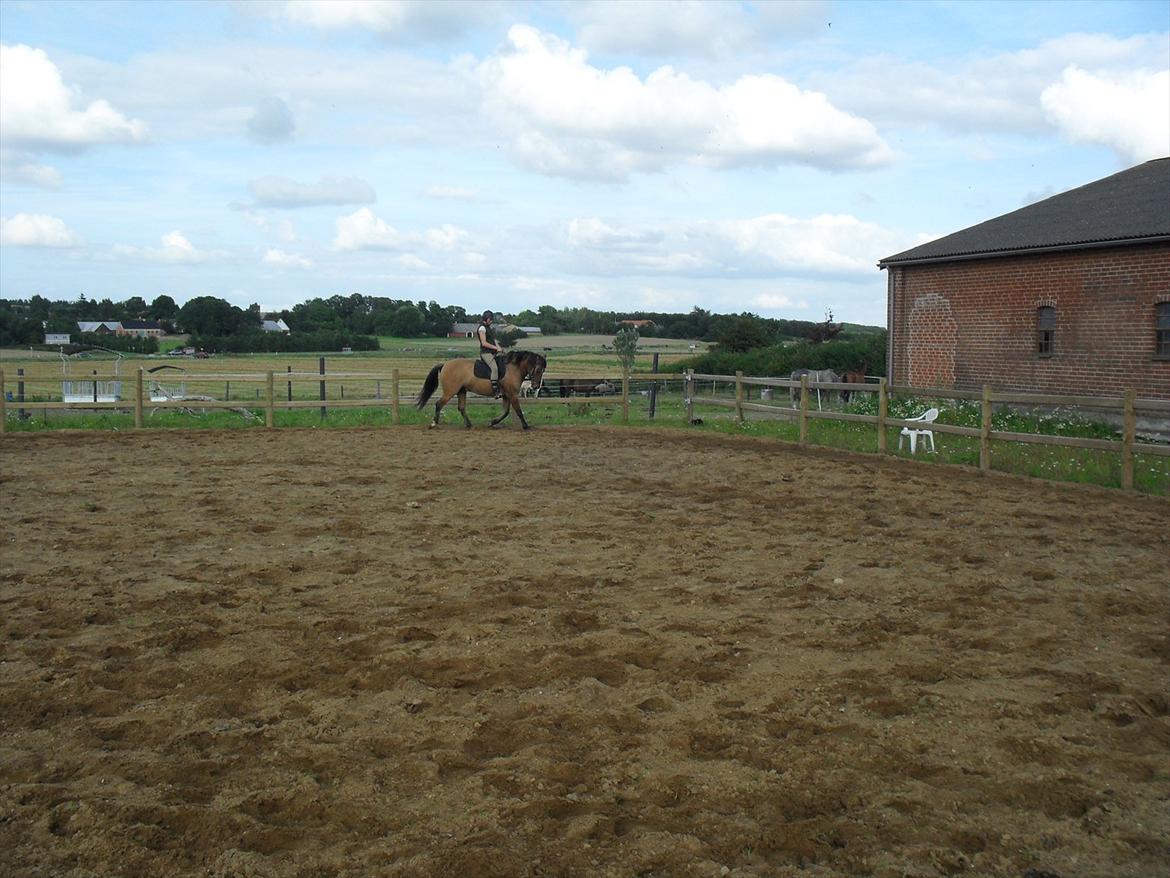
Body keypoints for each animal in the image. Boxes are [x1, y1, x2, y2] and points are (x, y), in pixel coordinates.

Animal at [416, 353, 547, 430]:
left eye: (543, 371)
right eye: (538, 370)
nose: (535, 386)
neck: (513, 369)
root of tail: (445, 365)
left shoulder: (506, 395)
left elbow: (506, 412)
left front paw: (492, 422)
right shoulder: (512, 394)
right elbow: (518, 411)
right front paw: (526, 426)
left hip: (461, 391)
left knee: (461, 407)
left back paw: (469, 425)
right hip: (450, 391)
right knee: (439, 404)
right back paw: (434, 423)